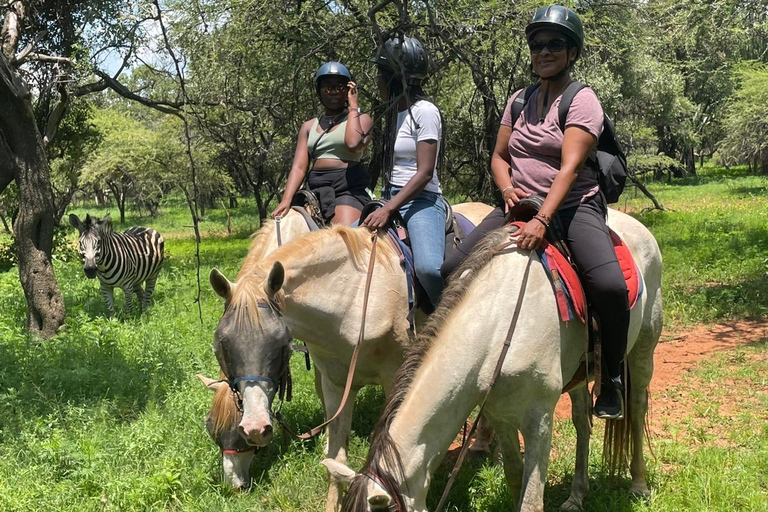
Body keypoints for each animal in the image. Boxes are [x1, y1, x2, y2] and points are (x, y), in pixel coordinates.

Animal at [206, 202, 492, 510]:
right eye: (221, 344)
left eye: (279, 341)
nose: (254, 428)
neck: (352, 296)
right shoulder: (334, 383)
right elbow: (336, 457)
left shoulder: (395, 378)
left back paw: (480, 444)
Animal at [320, 208, 664, 512]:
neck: (498, 322)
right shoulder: (500, 413)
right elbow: (513, 477)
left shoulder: (540, 420)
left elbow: (531, 500)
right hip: (579, 374)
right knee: (582, 423)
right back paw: (576, 496)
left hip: (643, 349)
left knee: (636, 408)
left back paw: (639, 485)